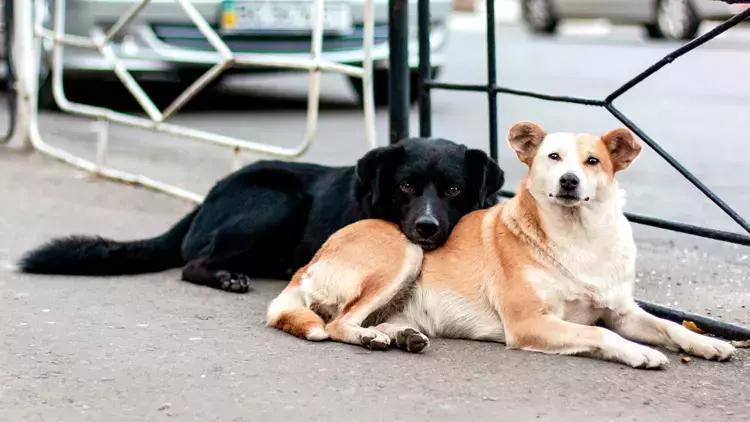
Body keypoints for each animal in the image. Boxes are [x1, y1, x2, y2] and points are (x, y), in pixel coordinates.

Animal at [20, 138, 506, 294]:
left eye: (454, 190)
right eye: (405, 186)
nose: (426, 226)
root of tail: (208, 196)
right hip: (278, 200)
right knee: (193, 263)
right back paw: (227, 277)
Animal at [268, 121, 736, 366]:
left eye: (593, 161)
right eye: (552, 157)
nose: (570, 181)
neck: (580, 238)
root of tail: (312, 260)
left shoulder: (622, 311)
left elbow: (667, 325)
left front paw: (707, 343)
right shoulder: (532, 324)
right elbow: (600, 334)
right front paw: (639, 352)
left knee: (369, 320)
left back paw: (399, 335)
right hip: (407, 252)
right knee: (339, 323)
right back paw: (371, 338)